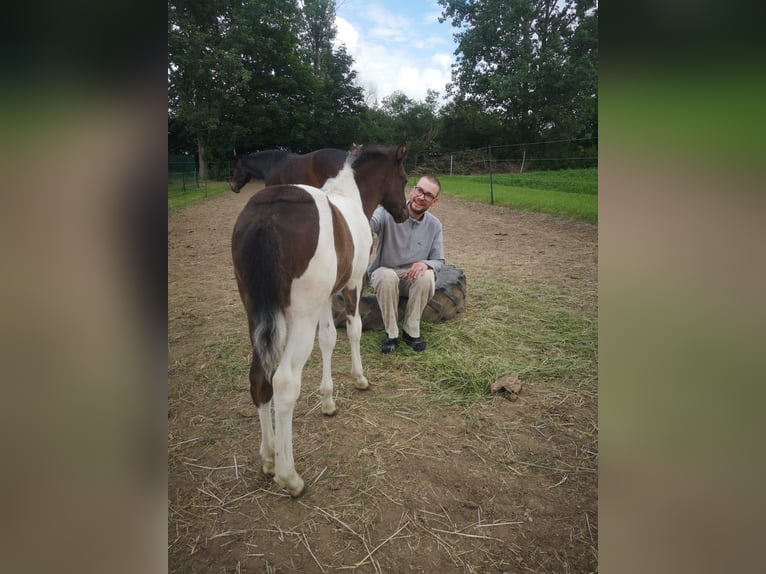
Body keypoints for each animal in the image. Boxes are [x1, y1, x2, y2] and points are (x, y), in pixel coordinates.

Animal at [231, 145, 408, 500]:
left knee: (259, 377)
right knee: (284, 382)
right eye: (405, 177)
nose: (407, 214)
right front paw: (359, 379)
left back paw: (268, 457)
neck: (351, 196)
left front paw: (328, 401)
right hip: (299, 318)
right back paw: (289, 476)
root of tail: (265, 216)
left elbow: (328, 338)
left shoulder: (326, 298)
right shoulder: (352, 283)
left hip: (256, 313)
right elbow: (352, 331)